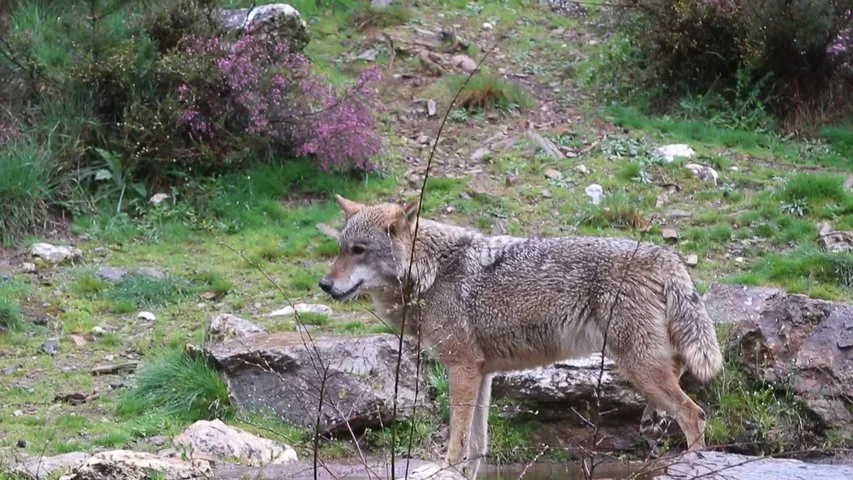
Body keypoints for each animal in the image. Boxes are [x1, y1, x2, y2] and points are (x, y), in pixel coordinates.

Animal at [319, 195, 723, 479]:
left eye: (358, 251)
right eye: (340, 250)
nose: (324, 284)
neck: (430, 272)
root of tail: (664, 255)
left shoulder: (462, 368)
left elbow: (457, 439)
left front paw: (444, 469)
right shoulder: (481, 373)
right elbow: (477, 444)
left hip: (640, 368)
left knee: (695, 414)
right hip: (648, 366)